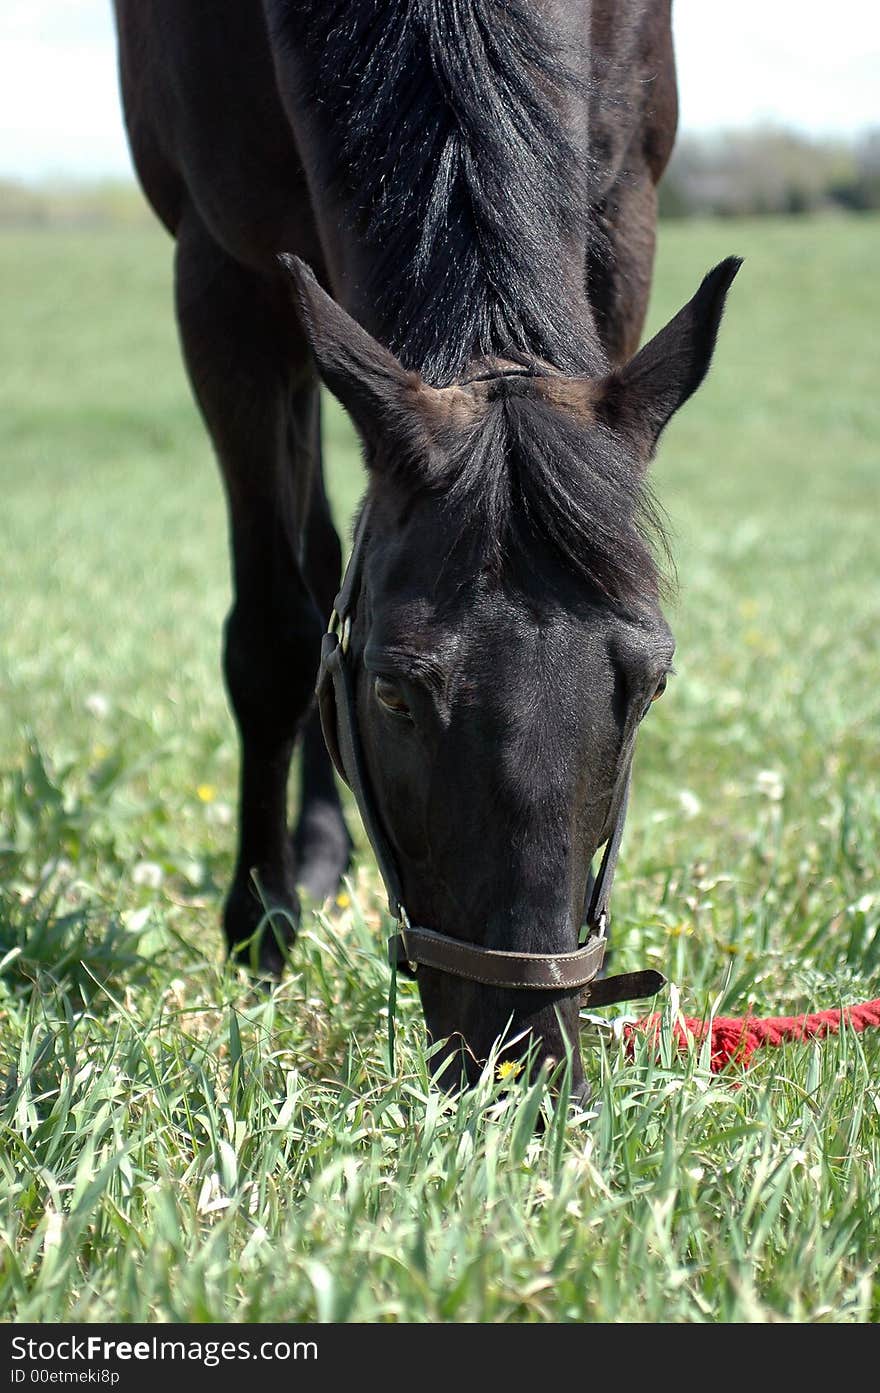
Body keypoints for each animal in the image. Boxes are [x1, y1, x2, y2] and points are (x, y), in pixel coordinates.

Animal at [113, 5, 740, 1103]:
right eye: (395, 693)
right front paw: (259, 928)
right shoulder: (222, 277)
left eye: (651, 682)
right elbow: (274, 636)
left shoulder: (622, 214)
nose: (523, 1062)